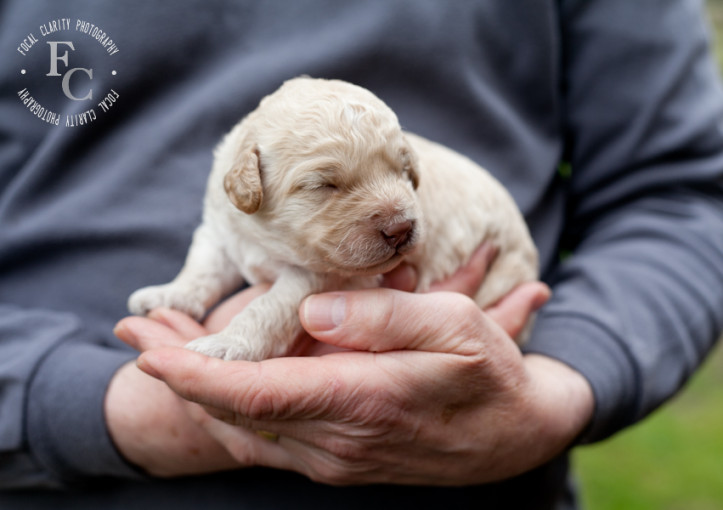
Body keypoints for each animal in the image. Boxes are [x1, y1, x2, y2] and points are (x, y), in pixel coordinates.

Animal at [129, 77, 536, 360]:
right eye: (325, 185)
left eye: (404, 171)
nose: (402, 228)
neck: (266, 237)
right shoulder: (220, 232)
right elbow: (200, 270)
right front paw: (169, 294)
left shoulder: (322, 277)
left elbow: (269, 307)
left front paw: (228, 343)